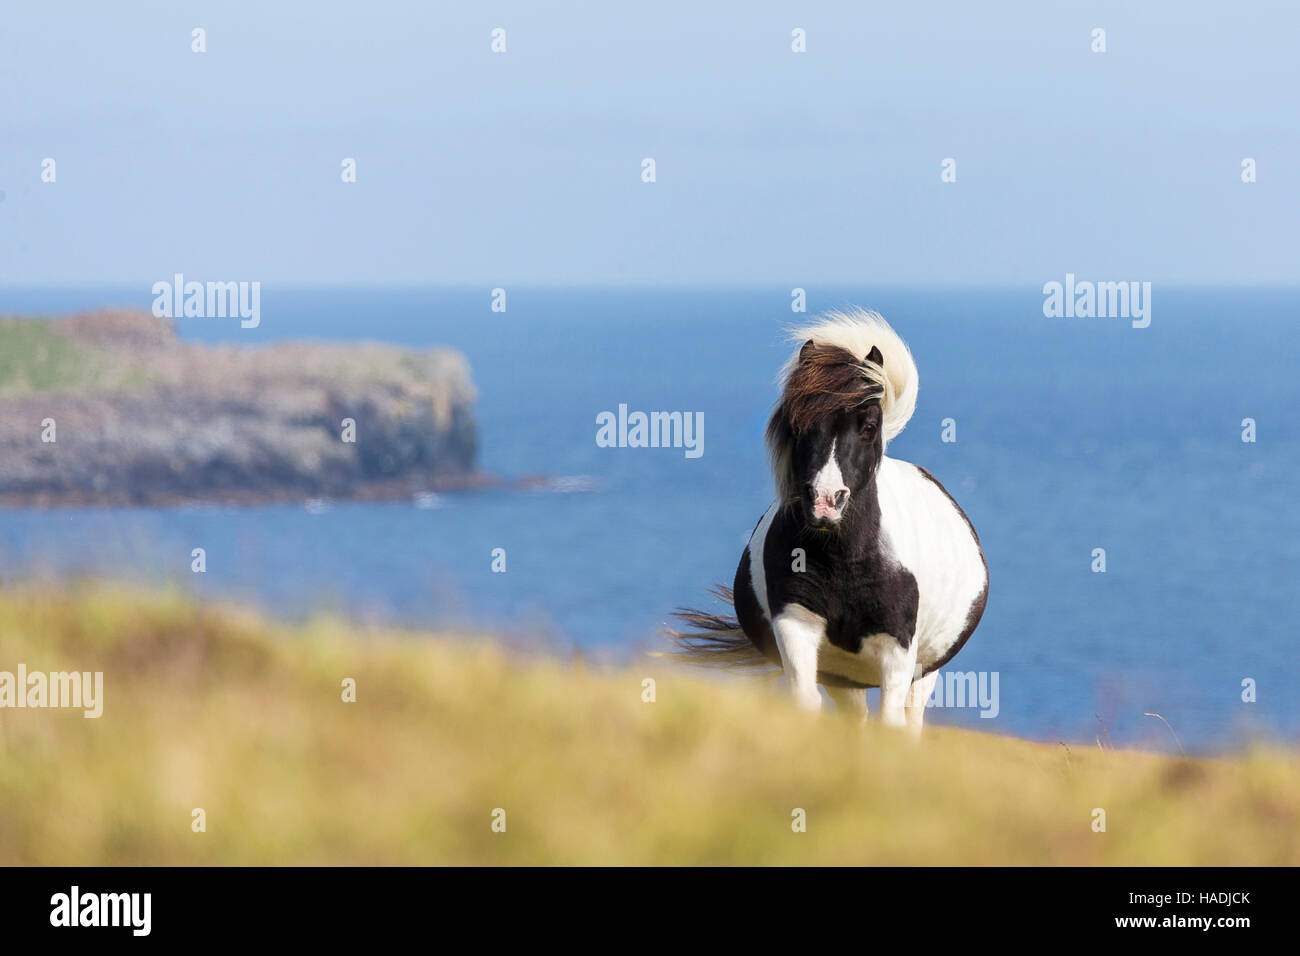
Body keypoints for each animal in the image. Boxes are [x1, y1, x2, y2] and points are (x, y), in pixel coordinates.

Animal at [670, 306, 982, 733]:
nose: (824, 502)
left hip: (925, 671)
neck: (845, 559)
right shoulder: (796, 625)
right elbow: (806, 703)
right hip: (843, 678)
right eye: (797, 423)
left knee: (910, 719)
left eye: (868, 426)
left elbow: (891, 723)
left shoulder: (897, 648)